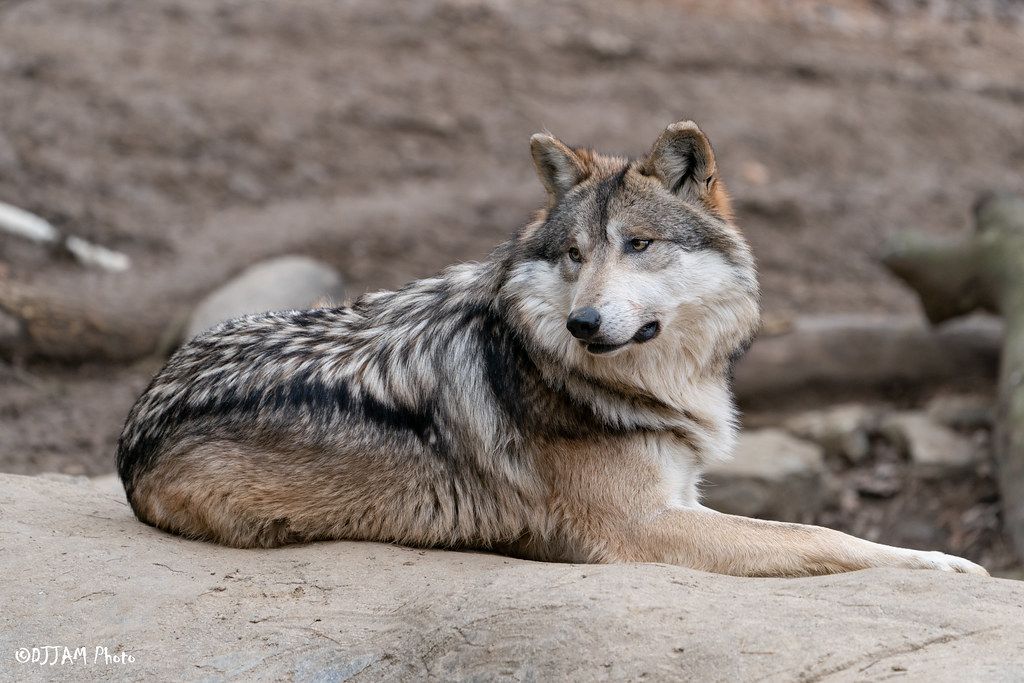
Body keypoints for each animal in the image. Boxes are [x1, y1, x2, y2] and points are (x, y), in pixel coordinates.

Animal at [116, 121, 987, 577]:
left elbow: (803, 529)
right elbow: (817, 536)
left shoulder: (678, 498)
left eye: (638, 244)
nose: (585, 323)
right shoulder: (640, 531)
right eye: (574, 254)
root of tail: (132, 426)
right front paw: (940, 564)